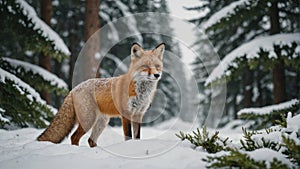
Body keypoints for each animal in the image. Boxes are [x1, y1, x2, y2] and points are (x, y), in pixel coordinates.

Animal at [37, 43, 165, 147]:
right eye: (146, 67)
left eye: (157, 66)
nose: (157, 75)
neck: (140, 92)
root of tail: (73, 89)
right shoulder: (126, 114)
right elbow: (128, 137)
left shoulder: (138, 114)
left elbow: (137, 136)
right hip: (89, 119)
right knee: (74, 137)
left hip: (101, 122)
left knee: (90, 140)